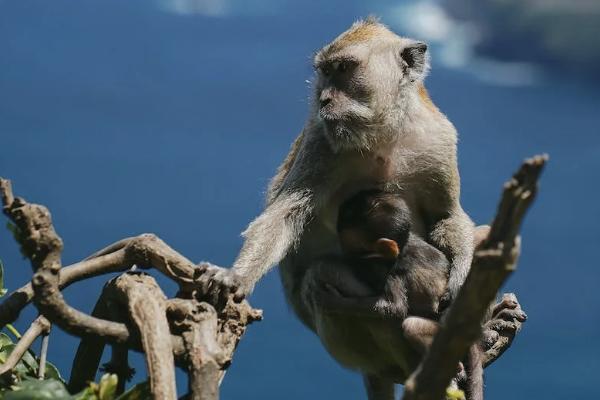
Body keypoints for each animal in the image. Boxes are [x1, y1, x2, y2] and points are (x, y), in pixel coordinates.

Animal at [338, 191, 482, 400]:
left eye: (357, 250)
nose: (344, 255)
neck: (402, 247)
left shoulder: (394, 273)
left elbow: (395, 309)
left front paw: (334, 301)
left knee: (412, 326)